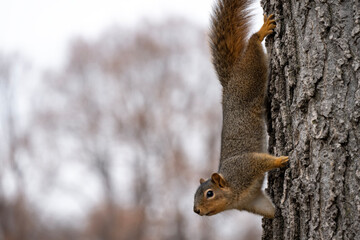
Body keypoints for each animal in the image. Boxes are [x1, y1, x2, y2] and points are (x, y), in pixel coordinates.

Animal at [193, 0, 288, 218]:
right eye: (195, 195)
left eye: (209, 193)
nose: (196, 210)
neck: (234, 194)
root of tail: (229, 83)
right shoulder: (252, 201)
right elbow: (269, 210)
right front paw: (279, 215)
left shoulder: (245, 166)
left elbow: (261, 160)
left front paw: (280, 161)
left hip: (249, 76)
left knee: (253, 45)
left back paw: (262, 31)